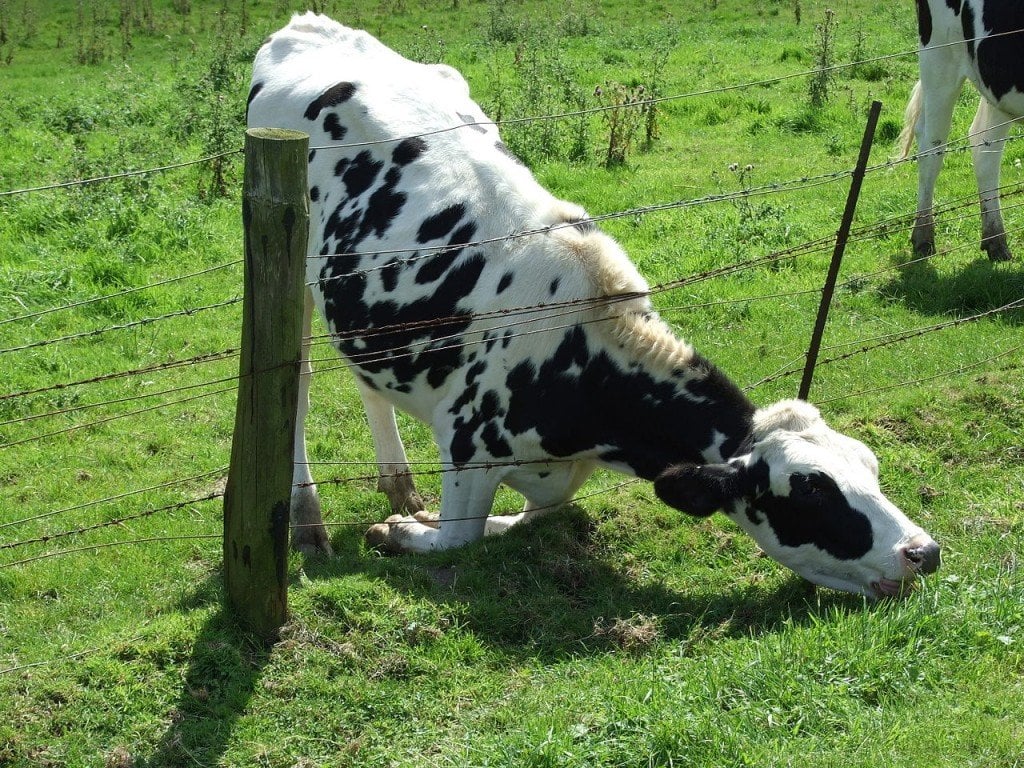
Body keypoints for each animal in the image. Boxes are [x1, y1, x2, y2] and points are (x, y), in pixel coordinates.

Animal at [245, 13, 937, 602]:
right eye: (812, 494)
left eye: (871, 468)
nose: (923, 551)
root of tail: (307, 24)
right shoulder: (467, 448)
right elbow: (457, 539)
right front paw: (398, 531)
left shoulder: (552, 474)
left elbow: (537, 516)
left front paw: (414, 514)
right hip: (291, 272)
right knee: (295, 377)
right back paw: (308, 520)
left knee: (367, 380)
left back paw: (397, 483)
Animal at [901, 0, 1024, 264]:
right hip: (939, 58)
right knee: (931, 146)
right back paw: (923, 238)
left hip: (997, 82)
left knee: (985, 146)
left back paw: (995, 241)